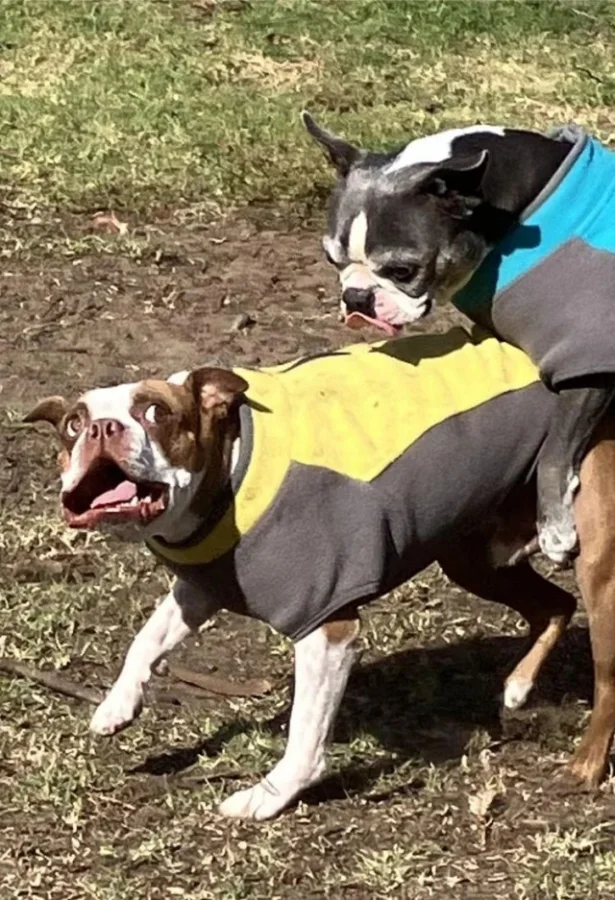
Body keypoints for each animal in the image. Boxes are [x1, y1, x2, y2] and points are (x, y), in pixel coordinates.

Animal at [25, 329, 615, 817]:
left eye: (155, 413)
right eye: (74, 424)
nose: (102, 428)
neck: (232, 466)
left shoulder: (327, 628)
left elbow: (305, 736)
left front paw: (269, 796)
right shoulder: (201, 586)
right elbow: (146, 640)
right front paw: (117, 705)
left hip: (593, 569)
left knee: (603, 671)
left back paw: (585, 766)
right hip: (474, 558)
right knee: (554, 605)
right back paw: (517, 687)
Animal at [303, 113, 615, 568]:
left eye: (403, 270)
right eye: (332, 260)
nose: (356, 298)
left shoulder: (587, 361)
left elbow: (555, 452)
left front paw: (555, 529)